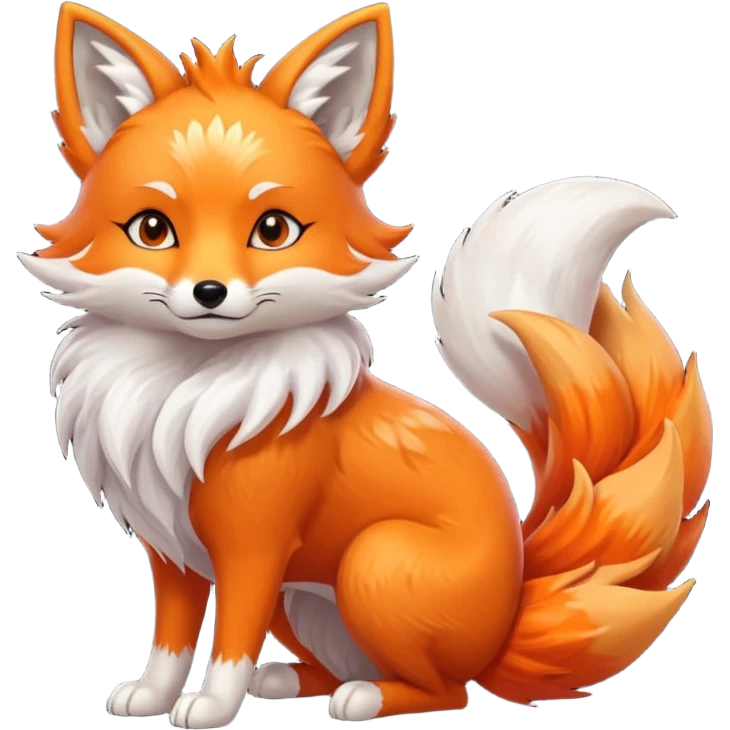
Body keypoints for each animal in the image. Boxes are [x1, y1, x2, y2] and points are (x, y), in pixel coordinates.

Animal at [21, 2, 711, 727]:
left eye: (273, 230)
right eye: (152, 230)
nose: (209, 293)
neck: (188, 388)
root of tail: (511, 608)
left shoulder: (254, 549)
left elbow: (230, 641)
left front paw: (210, 707)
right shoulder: (173, 552)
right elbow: (171, 639)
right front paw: (153, 696)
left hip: (372, 560)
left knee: (447, 690)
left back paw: (366, 698)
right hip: (302, 598)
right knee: (354, 666)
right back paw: (291, 679)